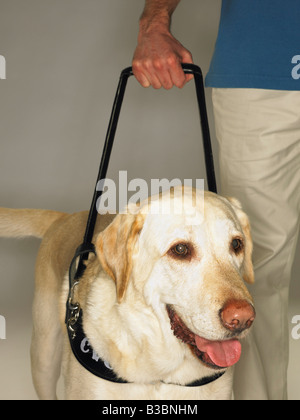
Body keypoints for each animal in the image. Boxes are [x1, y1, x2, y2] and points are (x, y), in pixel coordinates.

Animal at [0, 188, 255, 400]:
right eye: (181, 249)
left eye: (236, 244)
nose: (242, 318)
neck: (160, 375)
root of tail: (65, 218)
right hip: (43, 357)